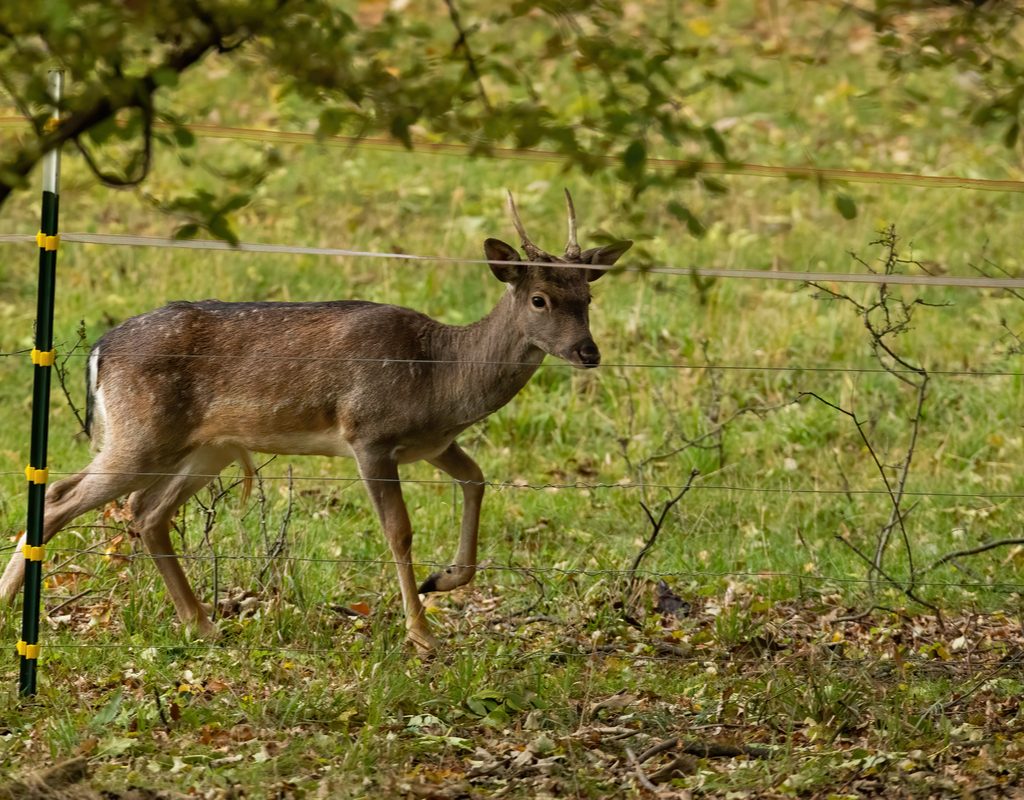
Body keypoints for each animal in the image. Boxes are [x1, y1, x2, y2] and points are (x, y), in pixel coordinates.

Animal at [0, 190, 631, 652]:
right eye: (540, 299)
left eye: (587, 296)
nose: (588, 352)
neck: (443, 376)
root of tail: (99, 350)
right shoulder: (369, 433)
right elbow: (398, 531)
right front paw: (422, 633)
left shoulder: (431, 443)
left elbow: (477, 480)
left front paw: (444, 580)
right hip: (141, 434)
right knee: (59, 495)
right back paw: (12, 612)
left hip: (207, 446)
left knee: (146, 513)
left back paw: (203, 624)